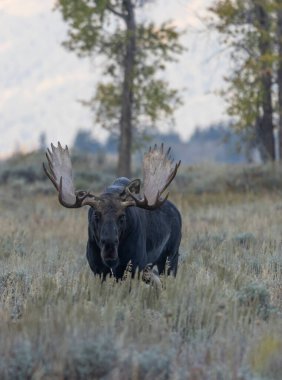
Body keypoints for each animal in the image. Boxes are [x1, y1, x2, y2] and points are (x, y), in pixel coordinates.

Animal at [43, 142, 182, 280]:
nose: (109, 246)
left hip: (171, 257)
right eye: (96, 215)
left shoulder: (134, 267)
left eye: (122, 217)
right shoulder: (98, 270)